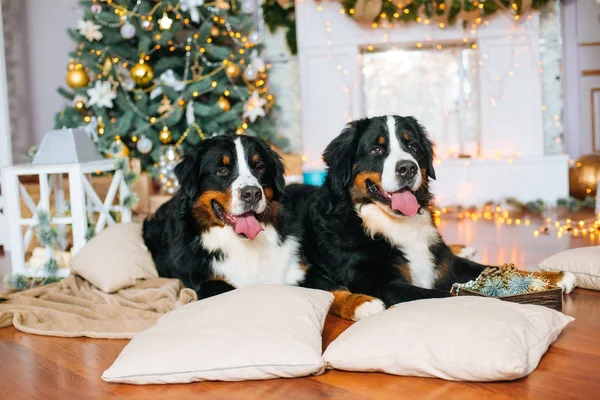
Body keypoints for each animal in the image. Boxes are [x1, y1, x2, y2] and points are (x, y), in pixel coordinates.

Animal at [288, 114, 580, 320]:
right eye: (376, 150)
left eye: (412, 145)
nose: (407, 168)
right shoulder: (383, 283)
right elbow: (450, 295)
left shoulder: (444, 262)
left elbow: (489, 267)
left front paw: (549, 277)